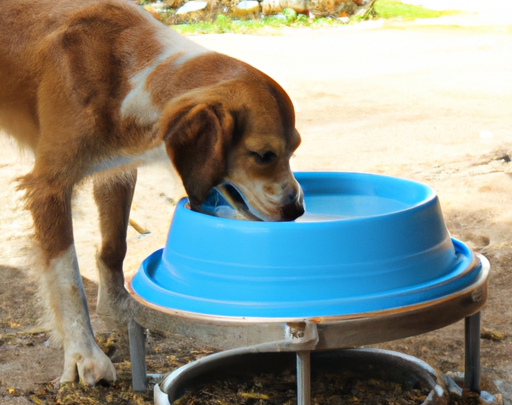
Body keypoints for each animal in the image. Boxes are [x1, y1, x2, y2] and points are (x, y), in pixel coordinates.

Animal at [0, 0, 304, 386]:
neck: (125, 75)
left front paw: (120, 308)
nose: (297, 210)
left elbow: (114, 248)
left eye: (295, 148)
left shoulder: (117, 169)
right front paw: (84, 353)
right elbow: (68, 280)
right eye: (264, 155)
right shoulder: (49, 187)